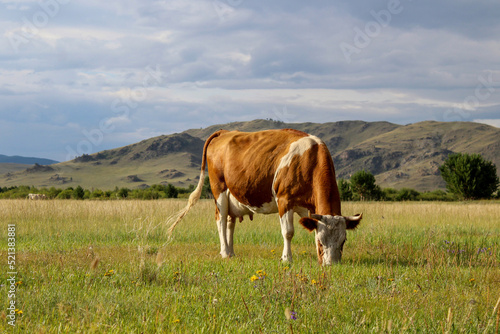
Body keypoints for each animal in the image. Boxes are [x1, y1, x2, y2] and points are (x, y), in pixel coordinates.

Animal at [169, 129, 364, 264]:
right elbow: (288, 232)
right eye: (321, 241)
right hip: (219, 190)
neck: (309, 160)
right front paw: (286, 258)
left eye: (343, 241)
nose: (332, 265)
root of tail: (225, 131)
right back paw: (224, 252)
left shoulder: (309, 208)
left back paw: (231, 252)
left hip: (234, 195)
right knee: (221, 219)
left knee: (230, 222)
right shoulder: (284, 200)